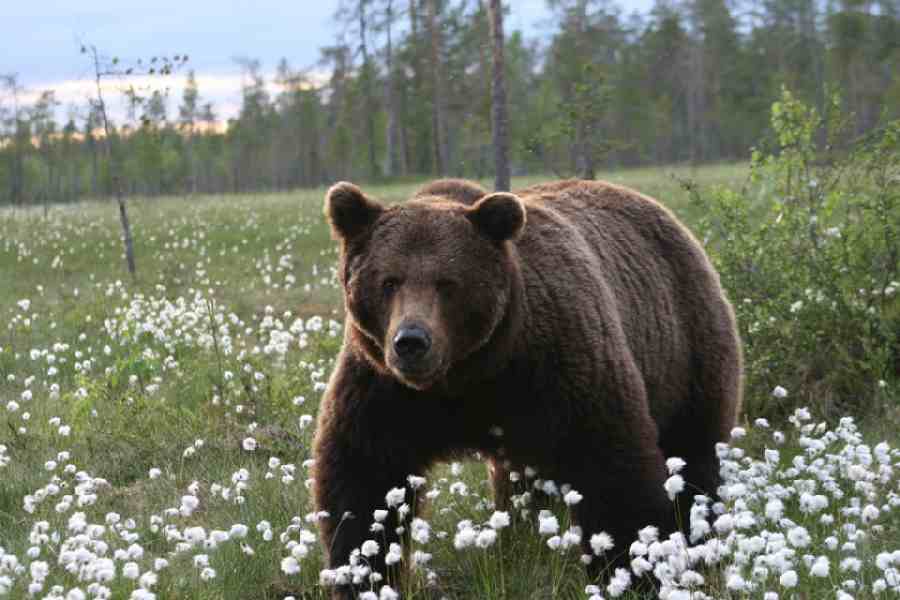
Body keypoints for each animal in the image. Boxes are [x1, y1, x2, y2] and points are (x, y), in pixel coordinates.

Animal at [312, 177, 740, 596]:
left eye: (447, 283)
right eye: (389, 281)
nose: (412, 342)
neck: (466, 376)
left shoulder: (560, 368)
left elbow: (611, 467)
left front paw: (633, 573)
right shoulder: (382, 388)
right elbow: (363, 477)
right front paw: (360, 575)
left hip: (685, 352)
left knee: (693, 455)